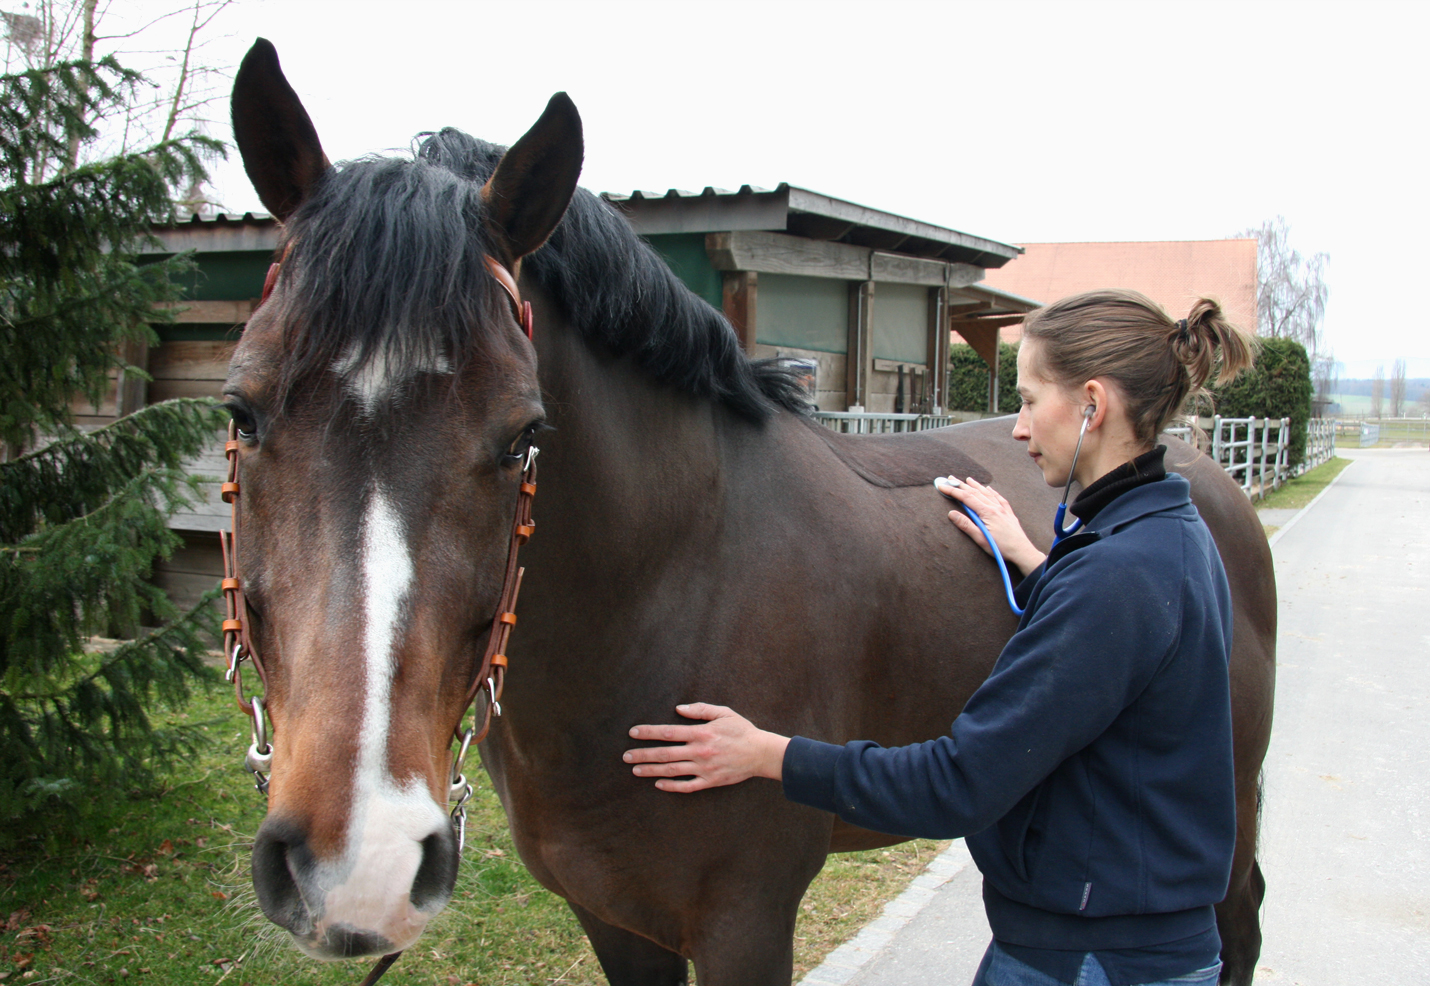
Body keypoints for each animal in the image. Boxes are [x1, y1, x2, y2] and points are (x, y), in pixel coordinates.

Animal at [223, 38, 1275, 983]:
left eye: (524, 434)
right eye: (240, 410)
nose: (360, 861)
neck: (670, 589)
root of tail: (1203, 470)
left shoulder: (746, 922)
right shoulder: (614, 917)